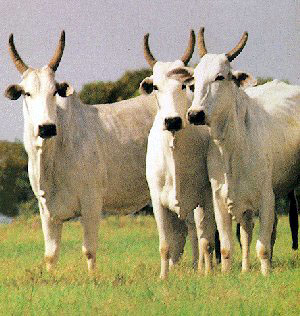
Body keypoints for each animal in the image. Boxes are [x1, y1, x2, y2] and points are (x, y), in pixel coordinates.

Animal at [4, 31, 161, 272]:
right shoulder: (46, 209)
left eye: (54, 92)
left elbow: (89, 250)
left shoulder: (92, 203)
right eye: (27, 93)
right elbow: (50, 255)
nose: (46, 127)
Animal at [139, 30, 217, 278]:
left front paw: (207, 273)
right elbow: (167, 244)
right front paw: (164, 277)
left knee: (197, 235)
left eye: (183, 86)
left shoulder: (205, 197)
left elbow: (206, 240)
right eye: (155, 87)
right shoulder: (158, 202)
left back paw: (200, 266)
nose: (172, 121)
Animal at [173, 27, 300, 274]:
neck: (231, 149)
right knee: (247, 232)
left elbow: (263, 246)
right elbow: (226, 246)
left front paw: (265, 274)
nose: (194, 114)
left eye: (220, 77)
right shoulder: (220, 200)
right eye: (194, 82)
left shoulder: (266, 198)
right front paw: (227, 273)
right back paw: (244, 268)